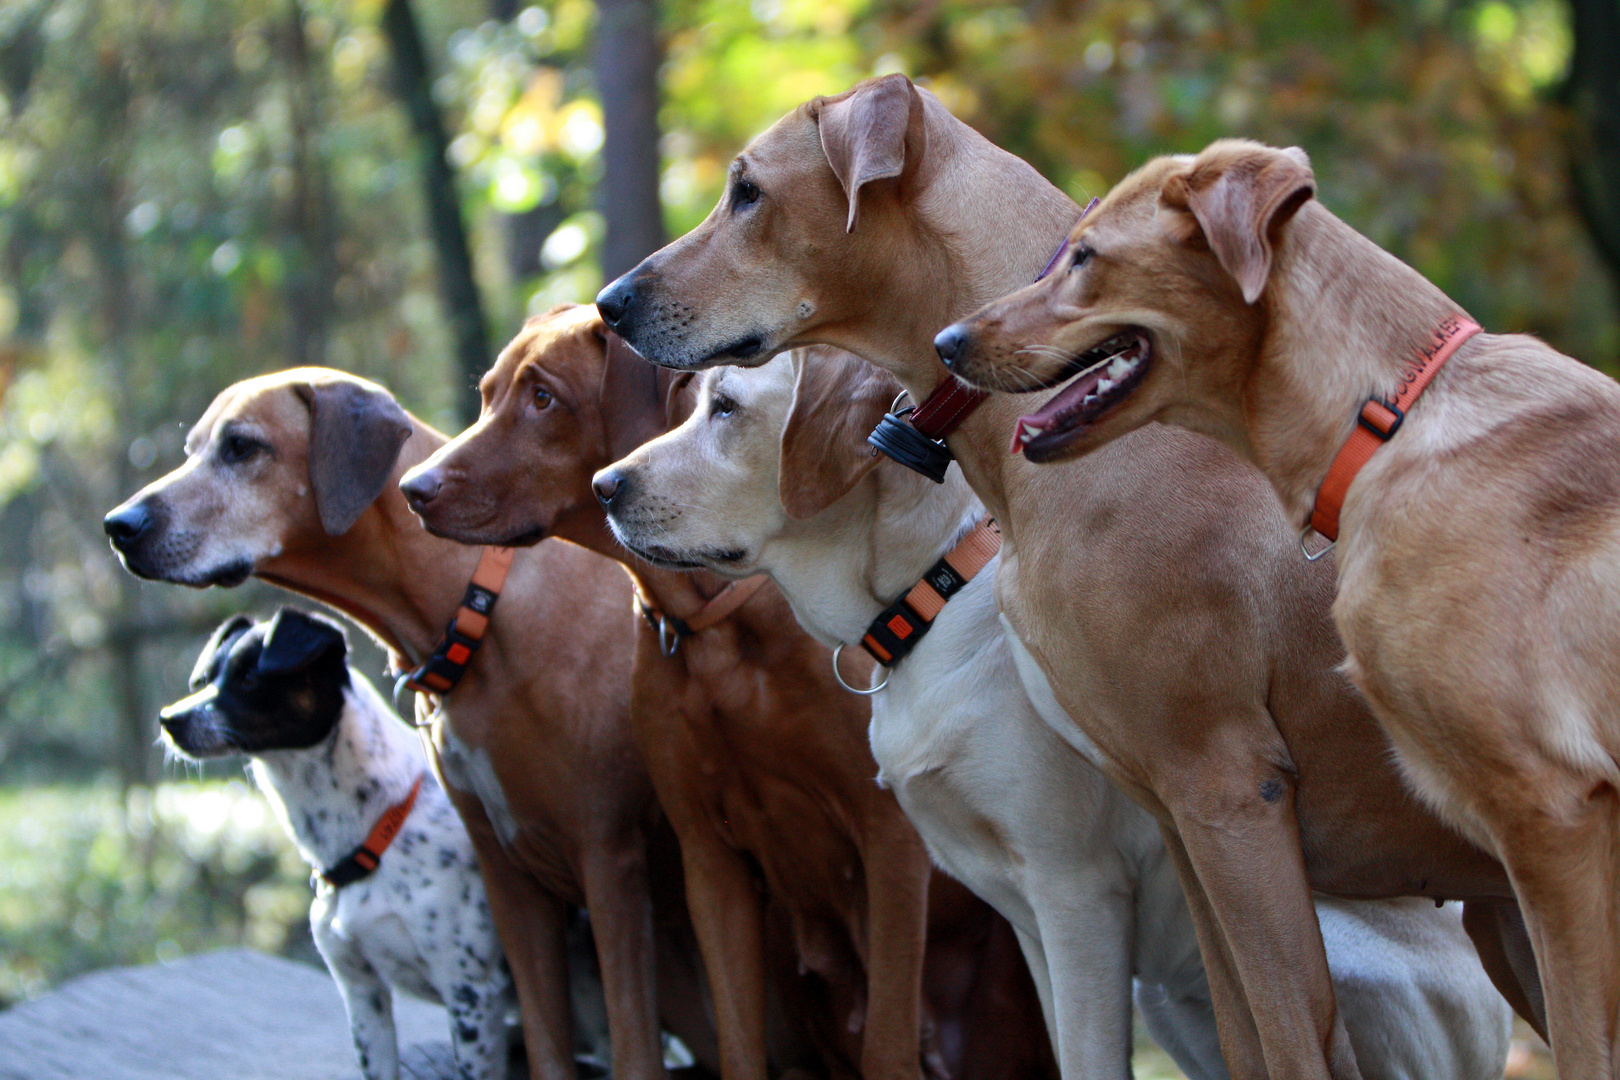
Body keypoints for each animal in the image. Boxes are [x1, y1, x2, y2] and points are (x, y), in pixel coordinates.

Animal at [157, 608, 511, 1080]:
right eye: (208, 677)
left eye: (250, 676)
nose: (169, 719)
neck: (377, 830)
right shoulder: (362, 993)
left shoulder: (471, 993)